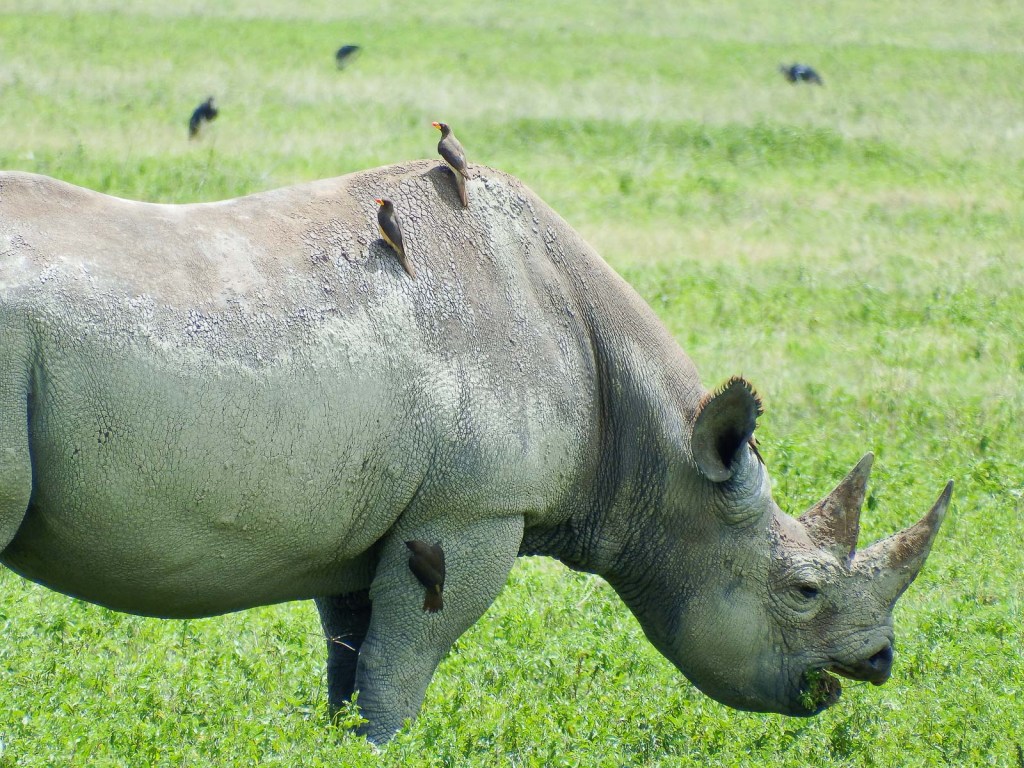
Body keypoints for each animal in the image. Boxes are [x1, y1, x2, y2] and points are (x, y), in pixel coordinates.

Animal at [0, 161, 949, 744]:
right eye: (804, 590)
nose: (879, 663)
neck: (662, 460)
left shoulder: (375, 523)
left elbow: (352, 663)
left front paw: (340, 743)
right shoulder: (472, 512)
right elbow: (400, 667)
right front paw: (383, 747)